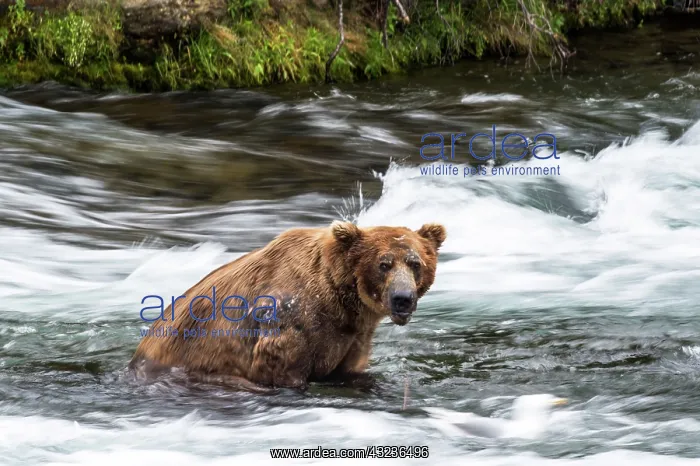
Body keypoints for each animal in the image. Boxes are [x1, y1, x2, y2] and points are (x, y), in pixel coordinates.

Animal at [129, 220, 446, 391]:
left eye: (415, 263)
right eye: (384, 264)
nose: (403, 298)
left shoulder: (354, 336)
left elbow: (350, 369)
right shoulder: (289, 318)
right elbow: (281, 367)